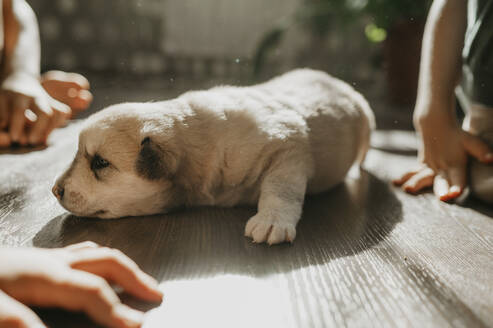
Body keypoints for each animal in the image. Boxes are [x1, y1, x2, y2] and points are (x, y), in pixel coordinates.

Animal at [52, 68, 372, 243]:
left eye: (100, 163)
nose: (55, 190)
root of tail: (332, 79)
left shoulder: (288, 147)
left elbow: (280, 188)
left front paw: (271, 221)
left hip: (367, 122)